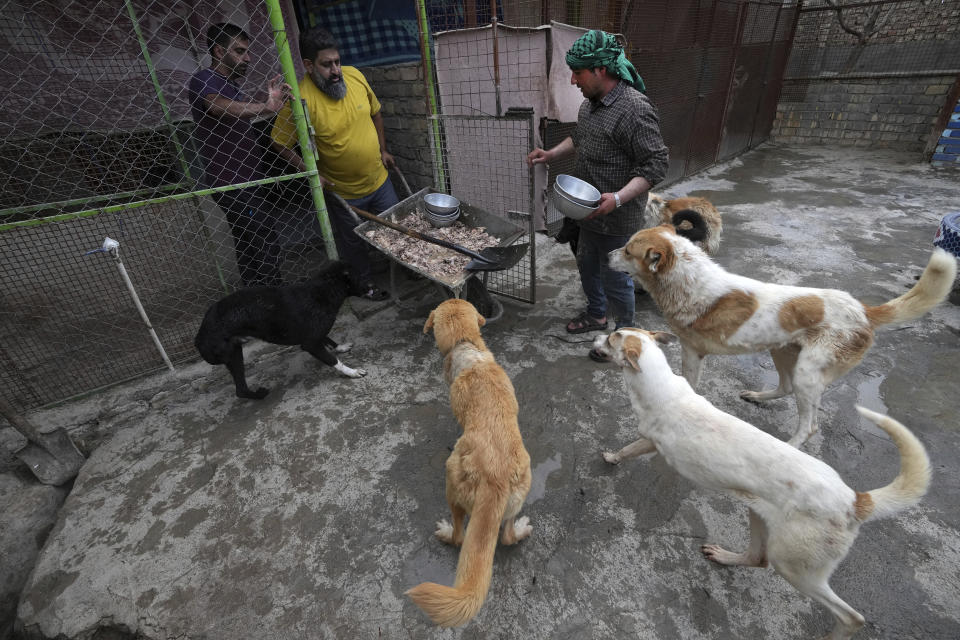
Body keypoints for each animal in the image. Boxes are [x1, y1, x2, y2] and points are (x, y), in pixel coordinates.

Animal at [195, 258, 372, 398]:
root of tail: (199, 337)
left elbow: (328, 339)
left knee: (240, 389)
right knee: (240, 390)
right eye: (361, 276)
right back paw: (261, 395)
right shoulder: (310, 343)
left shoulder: (316, 333)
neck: (323, 290)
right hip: (232, 354)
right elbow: (333, 360)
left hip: (235, 353)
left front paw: (340, 347)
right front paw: (352, 372)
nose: (374, 287)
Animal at [406, 298, 536, 624]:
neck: (467, 348)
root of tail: (494, 480)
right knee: (507, 536)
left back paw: (445, 533)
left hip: (451, 483)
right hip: (519, 492)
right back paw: (521, 529)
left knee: (458, 536)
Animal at [592, 328, 928, 640]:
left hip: (794, 565)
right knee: (757, 558)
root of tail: (856, 500)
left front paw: (611, 458)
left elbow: (627, 450)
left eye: (612, 338)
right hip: (759, 516)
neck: (657, 384)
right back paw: (726, 557)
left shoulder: (648, 441)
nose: (594, 336)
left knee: (851, 618)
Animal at [612, 228, 956, 448]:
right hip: (782, 352)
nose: (606, 253)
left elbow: (688, 384)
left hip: (808, 372)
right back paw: (758, 396)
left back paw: (792, 445)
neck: (687, 281)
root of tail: (863, 311)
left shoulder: (692, 352)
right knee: (786, 386)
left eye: (627, 250)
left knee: (810, 425)